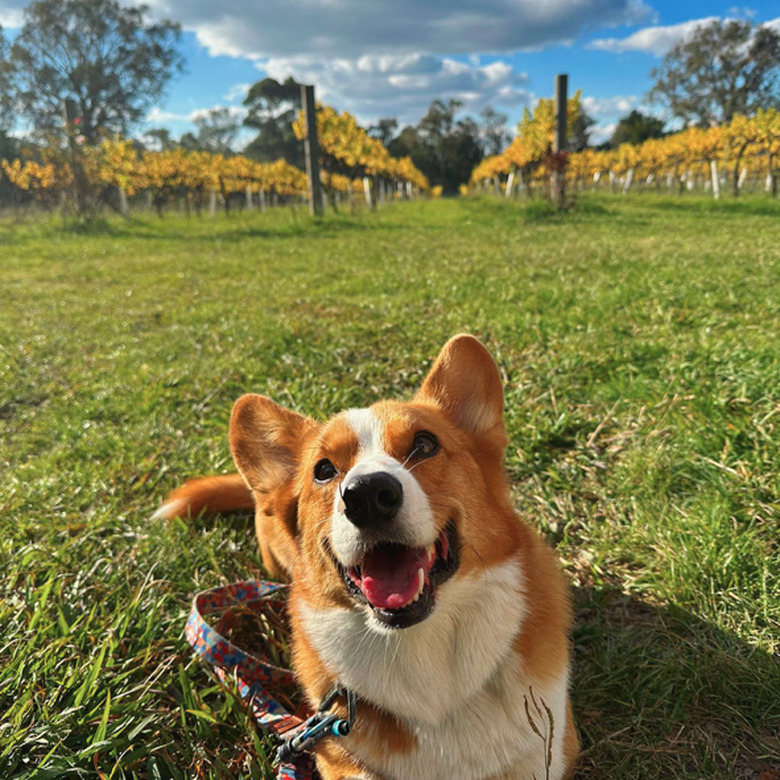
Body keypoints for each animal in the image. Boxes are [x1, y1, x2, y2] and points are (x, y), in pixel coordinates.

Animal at [158, 336, 576, 780]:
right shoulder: (333, 750)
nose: (368, 496)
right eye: (324, 470)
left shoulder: (548, 748)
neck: (419, 646)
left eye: (425, 444)